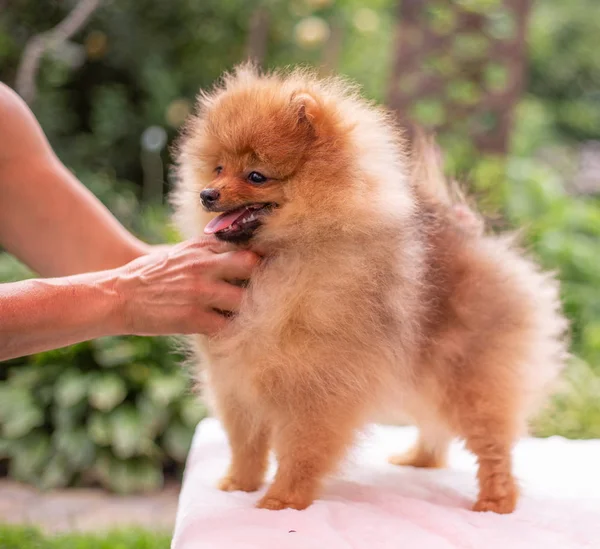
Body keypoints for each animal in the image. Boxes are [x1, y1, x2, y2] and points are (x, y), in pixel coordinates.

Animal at [172, 65, 568, 512]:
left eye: (256, 176)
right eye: (218, 168)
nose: (207, 194)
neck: (279, 258)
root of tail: (476, 240)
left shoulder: (316, 386)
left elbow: (301, 450)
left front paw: (281, 501)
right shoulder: (235, 381)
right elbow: (246, 443)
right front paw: (239, 485)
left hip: (469, 375)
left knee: (492, 442)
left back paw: (495, 501)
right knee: (436, 425)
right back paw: (419, 459)